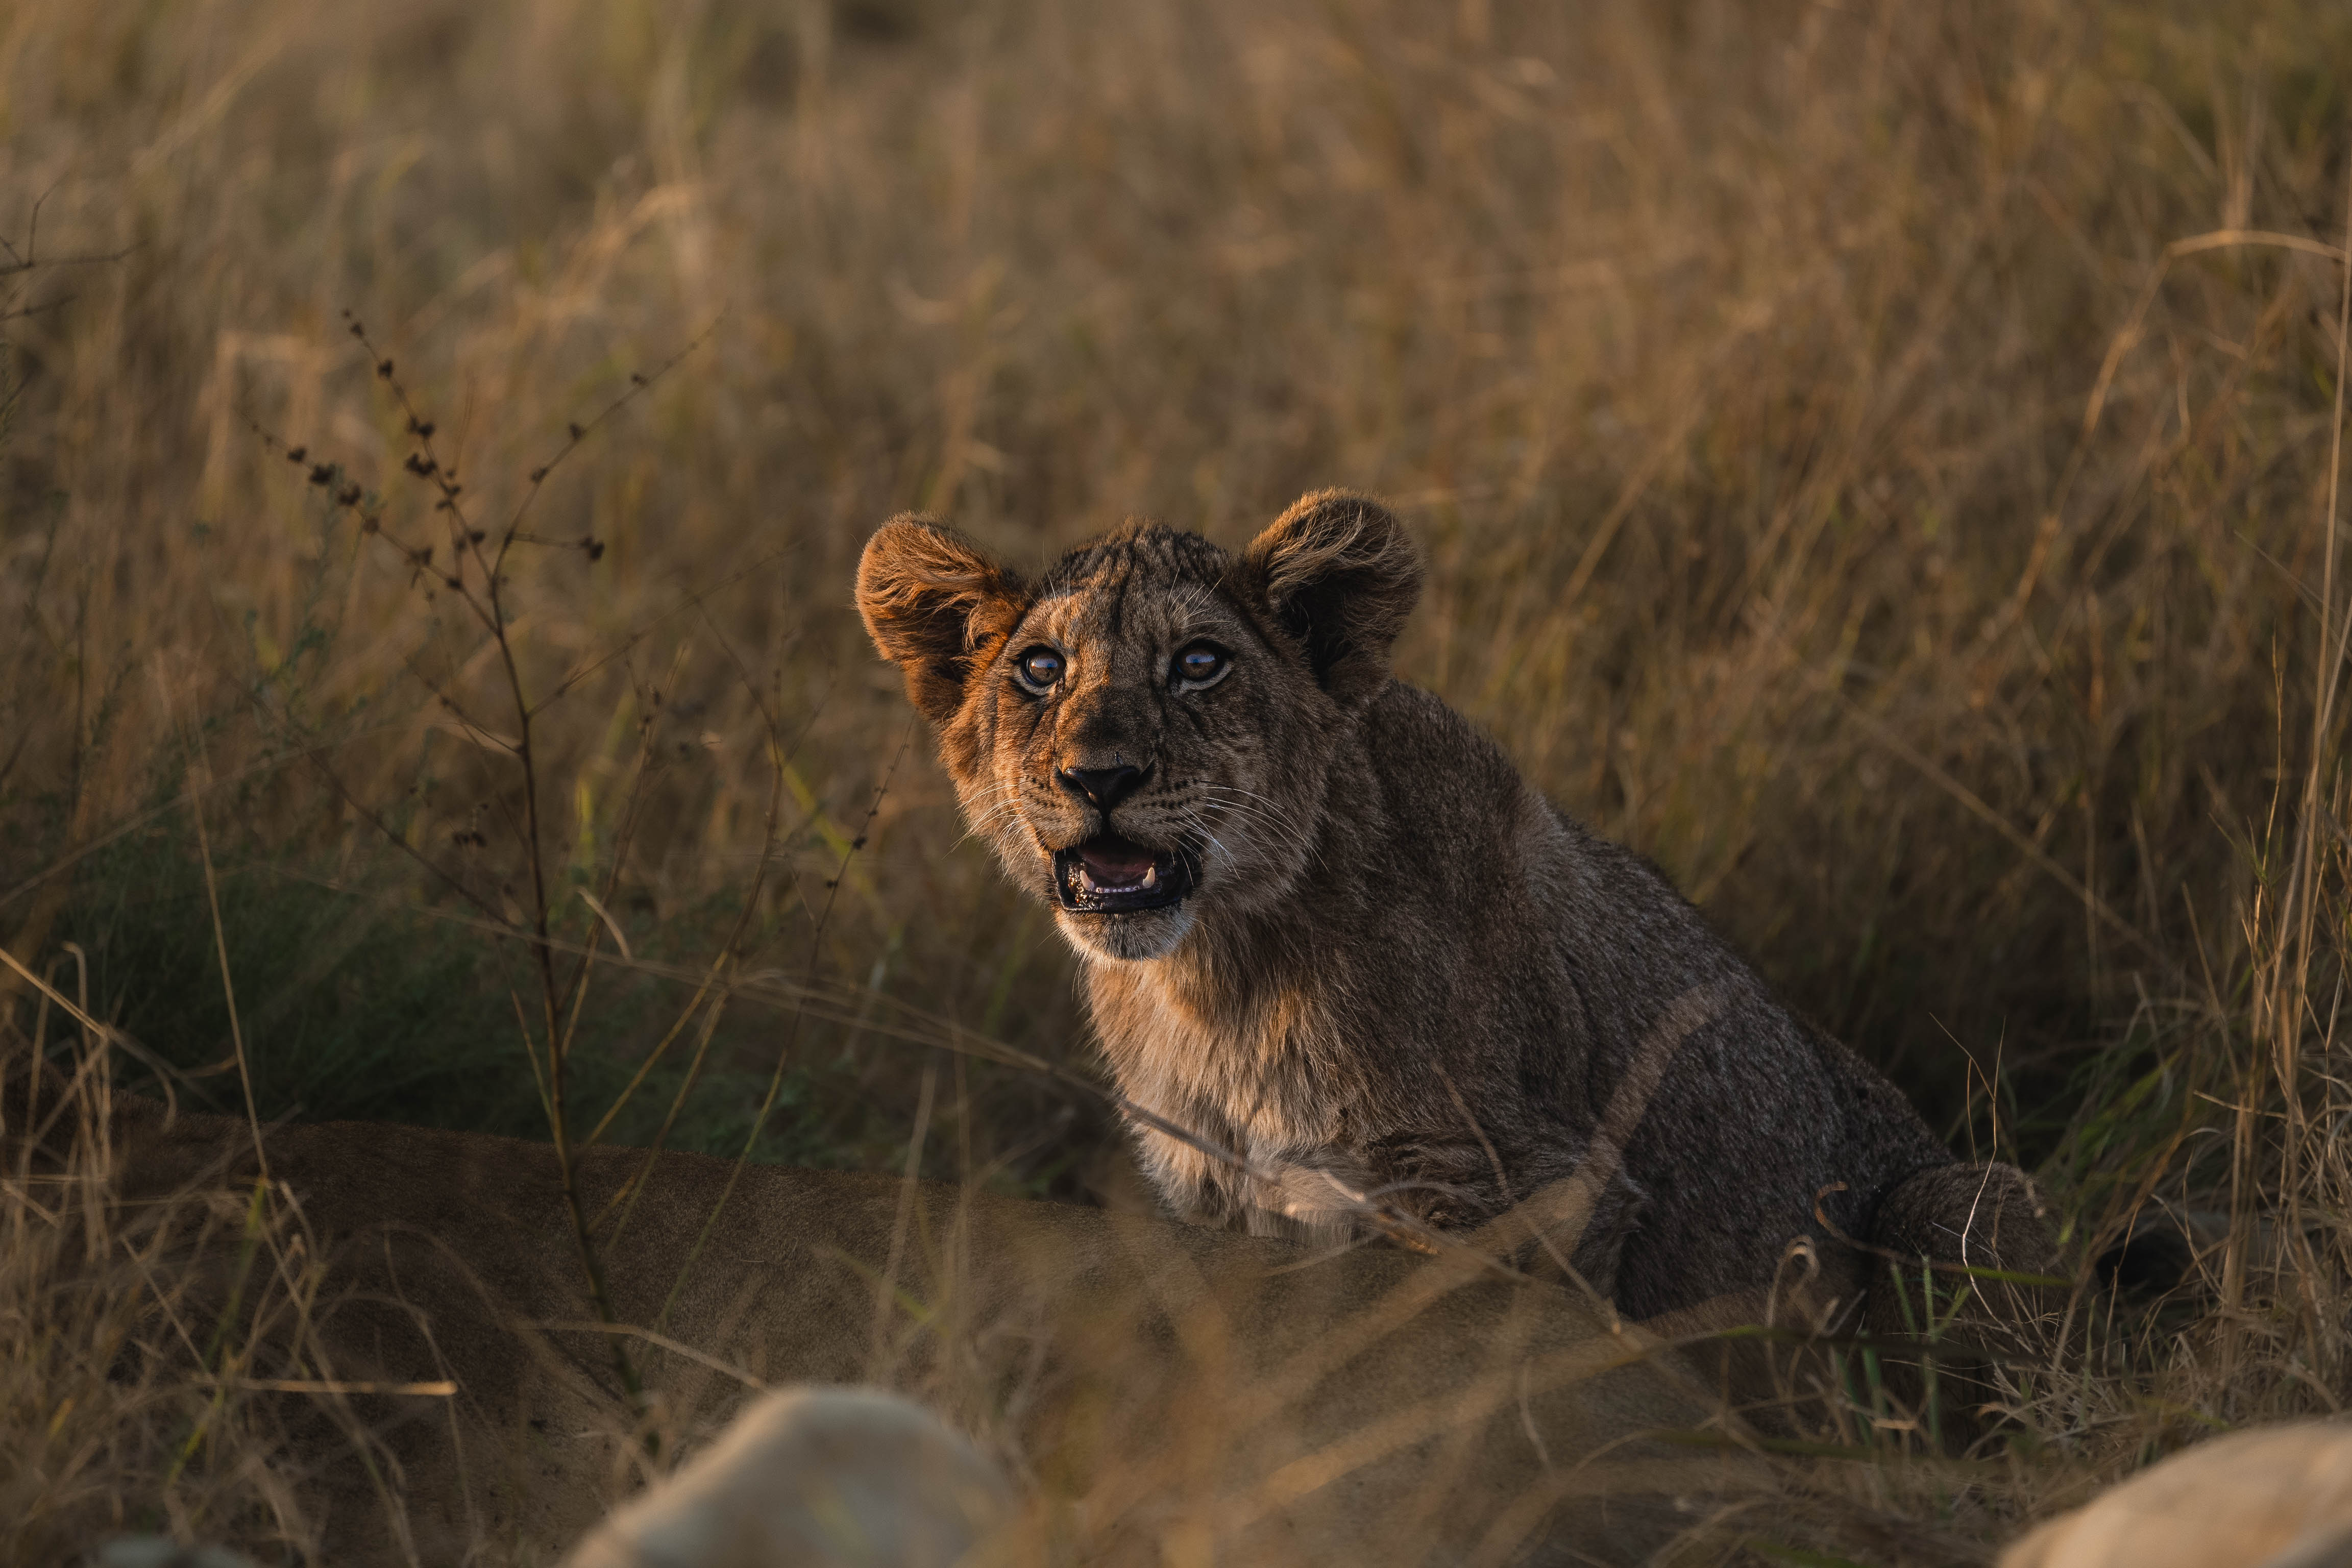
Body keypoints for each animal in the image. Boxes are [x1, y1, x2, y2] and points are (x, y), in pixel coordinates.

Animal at [856, 490, 2057, 1334]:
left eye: (1199, 663)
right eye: (1039, 670)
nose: (1098, 775)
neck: (1217, 976)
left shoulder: (1520, 1185)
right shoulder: (1219, 1200)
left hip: (1963, 1199)